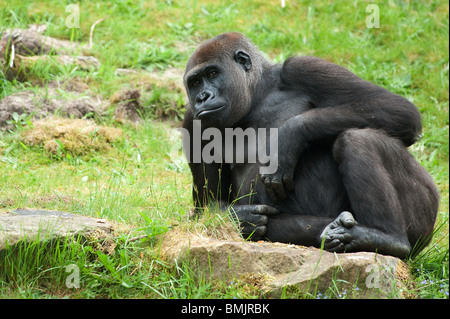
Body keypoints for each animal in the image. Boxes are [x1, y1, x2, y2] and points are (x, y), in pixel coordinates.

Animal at [181, 31, 438, 260]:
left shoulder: (301, 68)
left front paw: (290, 136)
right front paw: (242, 218)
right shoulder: (193, 121)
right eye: (195, 82)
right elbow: (207, 208)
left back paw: (388, 238)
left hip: (425, 216)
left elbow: (397, 108)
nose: (202, 97)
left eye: (212, 73)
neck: (257, 95)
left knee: (357, 138)